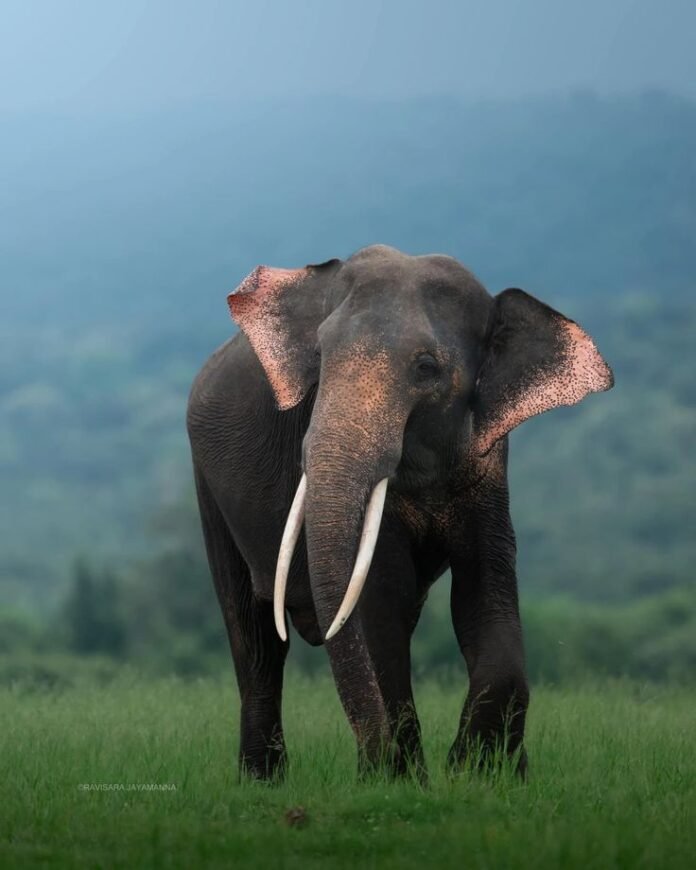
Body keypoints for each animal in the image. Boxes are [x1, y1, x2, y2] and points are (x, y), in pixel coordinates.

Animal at [187, 244, 613, 781]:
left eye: (427, 367)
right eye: (319, 357)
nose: (373, 757)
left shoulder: (489, 467)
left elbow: (484, 590)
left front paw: (480, 774)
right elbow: (380, 599)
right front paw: (402, 782)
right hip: (207, 485)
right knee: (256, 636)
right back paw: (263, 783)